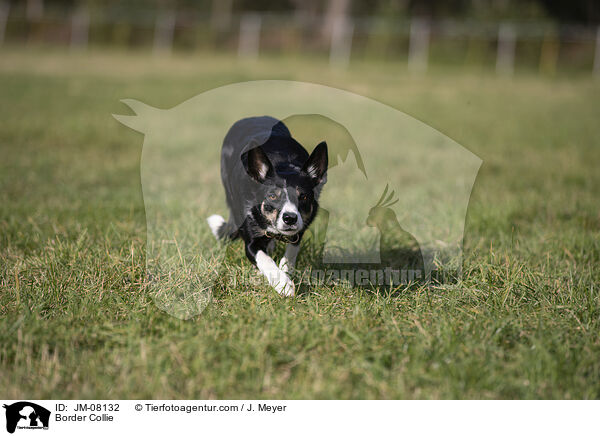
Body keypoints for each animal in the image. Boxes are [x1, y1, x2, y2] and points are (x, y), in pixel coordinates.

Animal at [206, 116, 328, 296]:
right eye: (272, 196)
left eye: (304, 196)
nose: (290, 218)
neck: (282, 164)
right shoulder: (251, 240)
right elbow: (265, 260)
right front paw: (282, 284)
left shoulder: (299, 231)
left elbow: (291, 253)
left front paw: (286, 272)